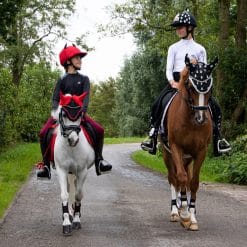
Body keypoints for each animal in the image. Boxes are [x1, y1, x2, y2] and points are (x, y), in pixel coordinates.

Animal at [159, 55, 217, 231]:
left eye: (210, 89)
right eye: (191, 87)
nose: (201, 119)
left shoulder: (200, 151)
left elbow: (193, 182)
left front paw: (192, 217)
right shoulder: (176, 148)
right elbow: (181, 178)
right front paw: (184, 214)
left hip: (187, 157)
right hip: (167, 154)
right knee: (173, 178)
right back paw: (175, 211)